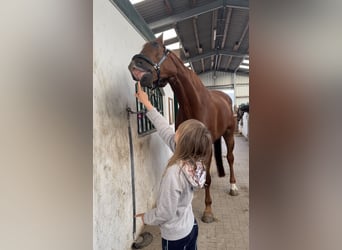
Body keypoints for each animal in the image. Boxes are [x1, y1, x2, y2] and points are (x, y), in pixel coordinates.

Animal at [128, 35, 238, 223]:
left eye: (158, 48)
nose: (134, 67)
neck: (195, 104)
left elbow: (208, 179)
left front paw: (208, 211)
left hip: (229, 134)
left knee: (230, 158)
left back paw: (233, 186)